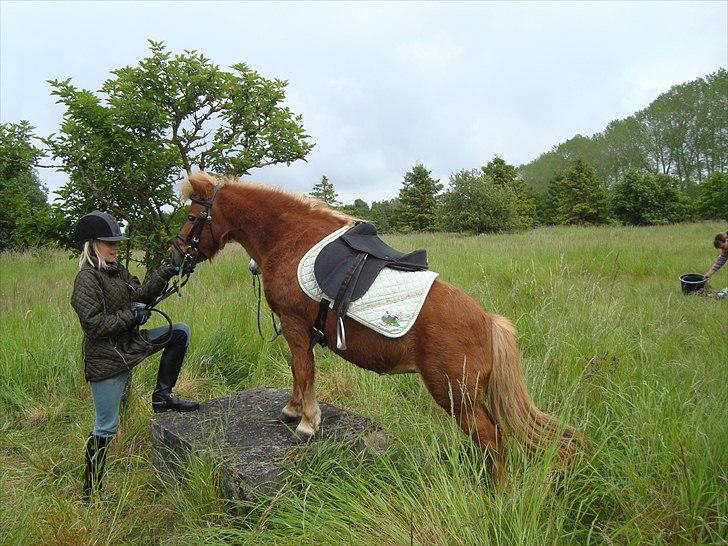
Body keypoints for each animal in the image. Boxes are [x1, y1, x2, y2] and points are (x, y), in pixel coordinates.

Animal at [172, 172, 576, 478]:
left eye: (192, 217)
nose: (177, 253)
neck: (290, 238)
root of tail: (487, 321)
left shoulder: (294, 324)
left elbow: (303, 369)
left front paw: (306, 422)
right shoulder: (300, 329)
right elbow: (298, 369)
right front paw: (293, 409)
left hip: (457, 398)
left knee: (493, 442)